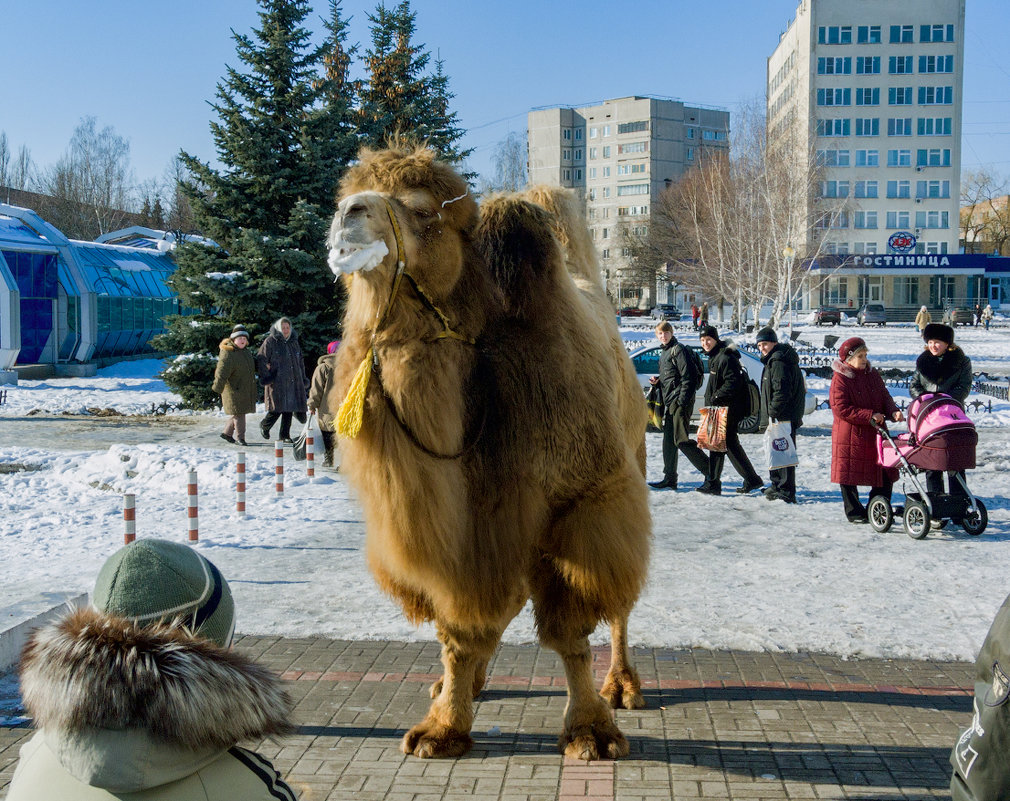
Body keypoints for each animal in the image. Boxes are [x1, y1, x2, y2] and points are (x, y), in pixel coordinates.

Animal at [327, 146, 650, 759]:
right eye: (348, 196)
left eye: (423, 211)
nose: (347, 216)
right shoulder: (470, 528)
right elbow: (459, 629)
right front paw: (442, 727)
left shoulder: (579, 507)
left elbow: (571, 631)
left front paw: (591, 732)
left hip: (629, 471)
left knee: (619, 604)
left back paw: (622, 685)